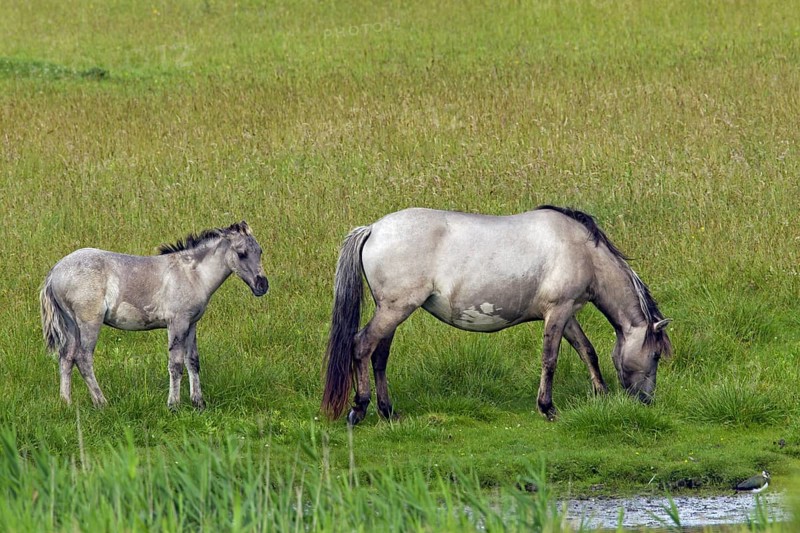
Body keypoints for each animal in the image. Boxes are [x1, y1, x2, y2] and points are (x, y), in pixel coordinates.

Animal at [40, 221, 269, 409]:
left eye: (260, 251)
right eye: (241, 253)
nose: (262, 286)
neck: (192, 275)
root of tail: (55, 271)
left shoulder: (191, 324)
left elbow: (193, 361)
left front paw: (199, 403)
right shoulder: (177, 323)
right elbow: (176, 364)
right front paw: (173, 405)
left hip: (71, 325)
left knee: (66, 357)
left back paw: (66, 403)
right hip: (89, 323)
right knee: (83, 358)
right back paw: (102, 402)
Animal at [321, 206, 672, 425]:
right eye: (655, 355)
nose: (647, 401)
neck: (581, 249)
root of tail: (373, 229)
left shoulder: (567, 314)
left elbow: (588, 351)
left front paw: (600, 395)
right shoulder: (558, 311)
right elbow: (550, 359)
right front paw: (548, 408)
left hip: (393, 312)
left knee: (379, 356)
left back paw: (388, 411)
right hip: (394, 309)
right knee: (361, 346)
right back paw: (360, 408)